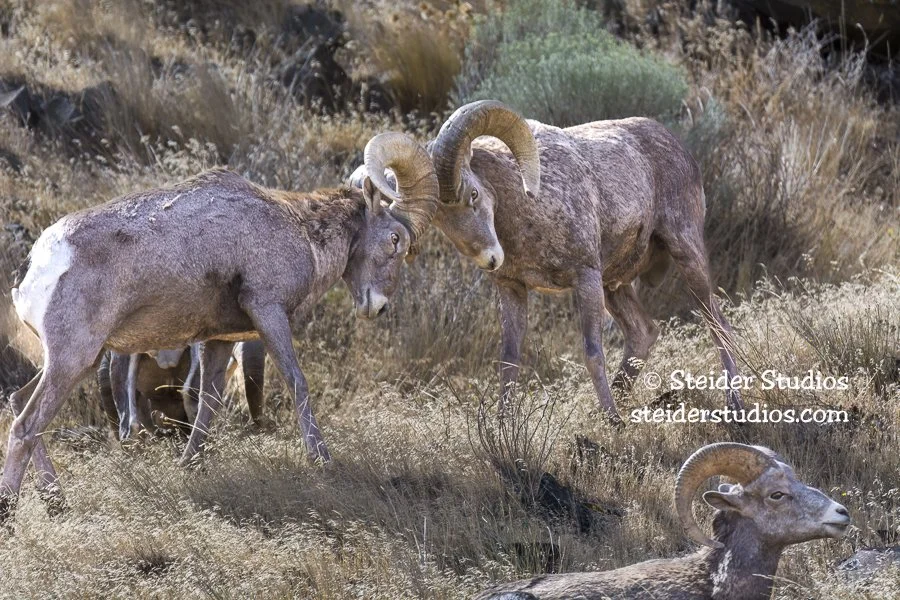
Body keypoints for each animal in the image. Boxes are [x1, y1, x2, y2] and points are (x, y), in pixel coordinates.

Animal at [428, 100, 744, 421]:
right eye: (440, 219)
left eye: (473, 194)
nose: (490, 259)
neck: (531, 203)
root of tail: (678, 146)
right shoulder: (512, 288)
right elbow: (509, 360)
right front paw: (502, 424)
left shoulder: (586, 279)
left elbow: (593, 354)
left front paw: (614, 423)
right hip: (614, 286)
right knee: (643, 333)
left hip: (686, 255)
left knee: (719, 326)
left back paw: (734, 406)